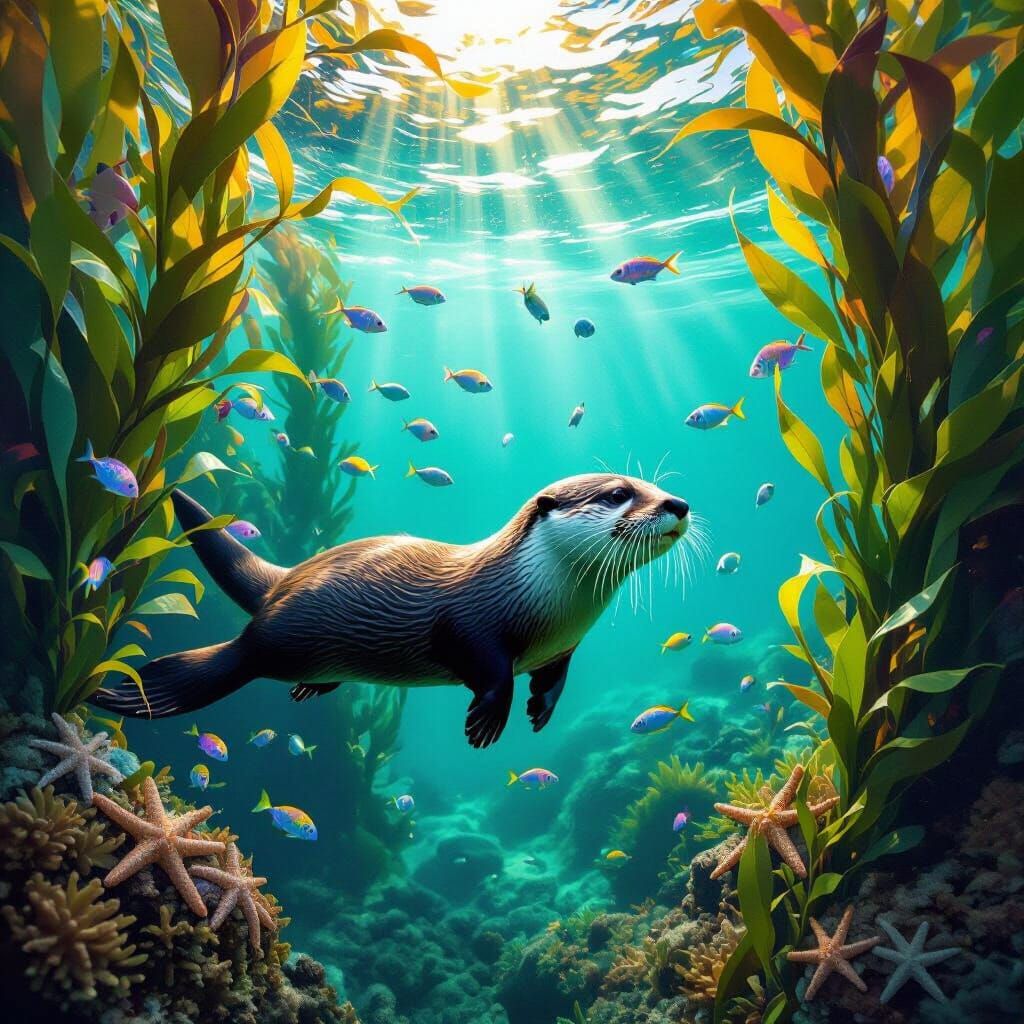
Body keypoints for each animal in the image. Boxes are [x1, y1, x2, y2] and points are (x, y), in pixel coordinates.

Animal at [92, 474, 691, 747]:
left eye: (654, 484)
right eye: (618, 493)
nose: (679, 504)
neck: (546, 600)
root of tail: (284, 581)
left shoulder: (563, 646)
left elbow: (554, 679)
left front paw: (540, 708)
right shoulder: (467, 624)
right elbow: (488, 671)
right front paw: (486, 722)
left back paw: (311, 689)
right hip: (276, 639)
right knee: (238, 656)